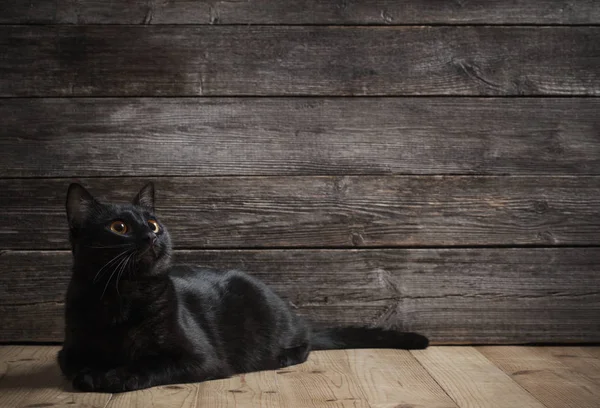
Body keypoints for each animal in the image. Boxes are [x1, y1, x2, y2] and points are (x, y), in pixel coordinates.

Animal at [58, 182, 428, 392]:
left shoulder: (201, 358)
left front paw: (116, 376)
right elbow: (73, 363)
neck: (122, 295)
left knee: (305, 344)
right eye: (119, 227)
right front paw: (93, 373)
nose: (151, 235)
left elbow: (151, 363)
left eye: (152, 223)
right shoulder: (69, 349)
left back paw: (282, 355)